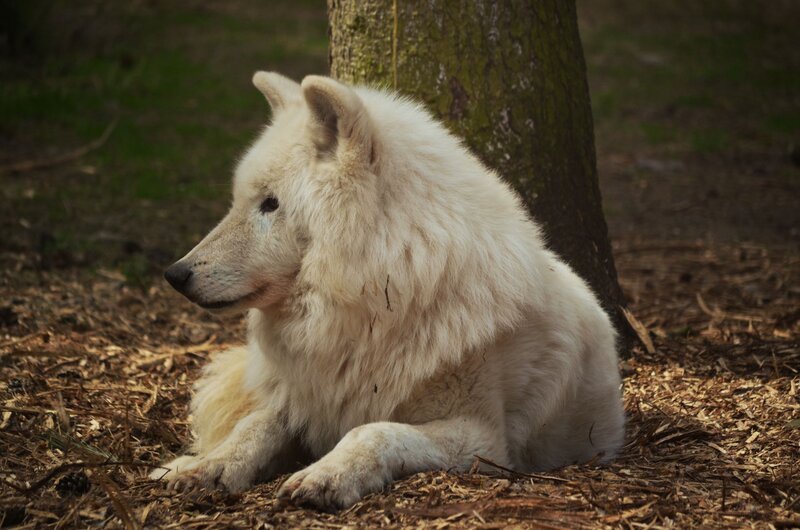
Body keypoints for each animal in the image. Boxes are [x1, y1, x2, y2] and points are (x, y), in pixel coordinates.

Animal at [152, 71, 625, 510]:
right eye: (240, 201)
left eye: (270, 204)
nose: (175, 274)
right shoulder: (306, 398)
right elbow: (255, 425)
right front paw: (207, 465)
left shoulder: (481, 440)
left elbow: (371, 431)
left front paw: (327, 475)